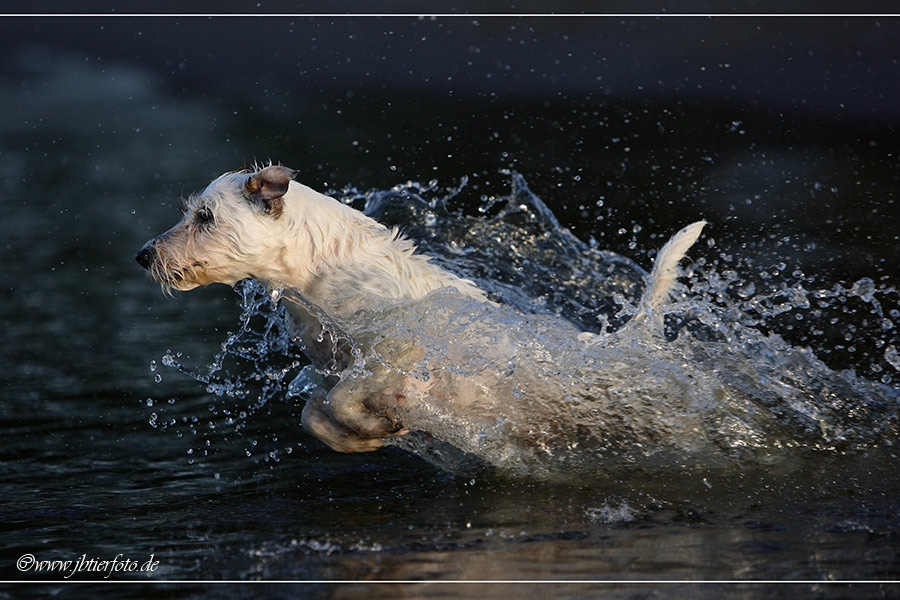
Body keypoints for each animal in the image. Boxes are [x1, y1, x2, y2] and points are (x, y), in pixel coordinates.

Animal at [137, 165, 708, 464]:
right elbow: (315, 413)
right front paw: (373, 434)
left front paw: (379, 423)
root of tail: (621, 345)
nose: (143, 255)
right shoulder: (336, 366)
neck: (320, 273)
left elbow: (343, 400)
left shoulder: (400, 353)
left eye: (204, 216)